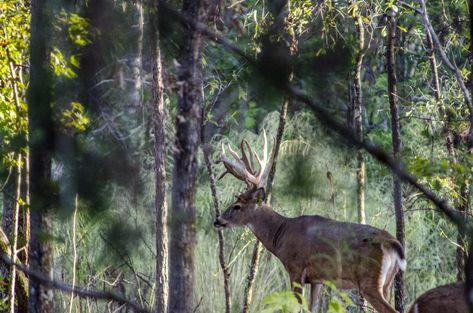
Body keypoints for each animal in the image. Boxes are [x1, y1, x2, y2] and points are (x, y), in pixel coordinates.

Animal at [214, 133, 406, 310]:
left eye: (237, 206)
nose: (217, 220)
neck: (281, 233)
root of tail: (393, 243)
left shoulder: (296, 269)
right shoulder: (317, 279)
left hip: (369, 280)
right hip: (387, 283)